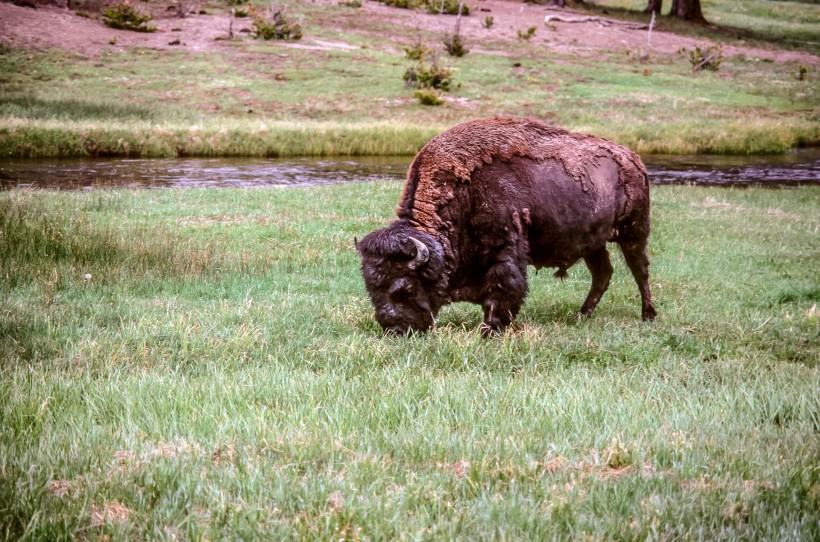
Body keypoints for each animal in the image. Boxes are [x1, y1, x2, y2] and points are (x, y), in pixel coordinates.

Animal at [356, 117, 656, 334]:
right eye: (371, 288)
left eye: (404, 288)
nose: (394, 329)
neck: (464, 192)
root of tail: (633, 159)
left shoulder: (506, 245)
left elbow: (504, 286)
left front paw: (491, 329)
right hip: (593, 243)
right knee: (602, 273)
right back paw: (581, 315)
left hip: (634, 232)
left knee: (639, 270)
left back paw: (648, 315)